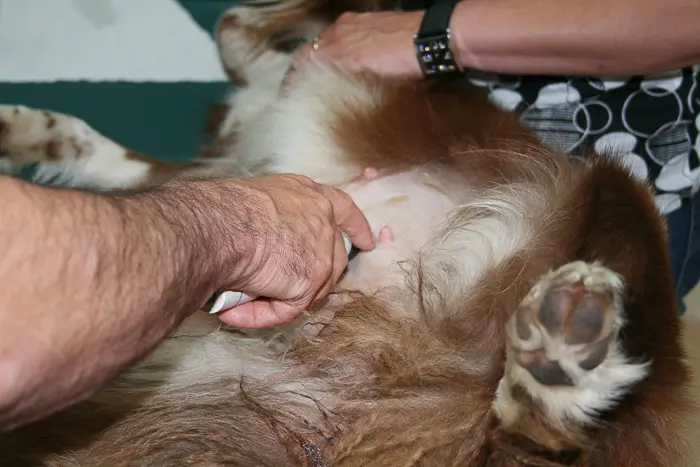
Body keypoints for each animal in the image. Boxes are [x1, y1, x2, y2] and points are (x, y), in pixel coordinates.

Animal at [0, 0, 696, 467]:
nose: (225, 17)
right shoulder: (230, 171)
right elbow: (97, 146)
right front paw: (22, 128)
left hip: (623, 194)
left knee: (542, 443)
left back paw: (563, 350)